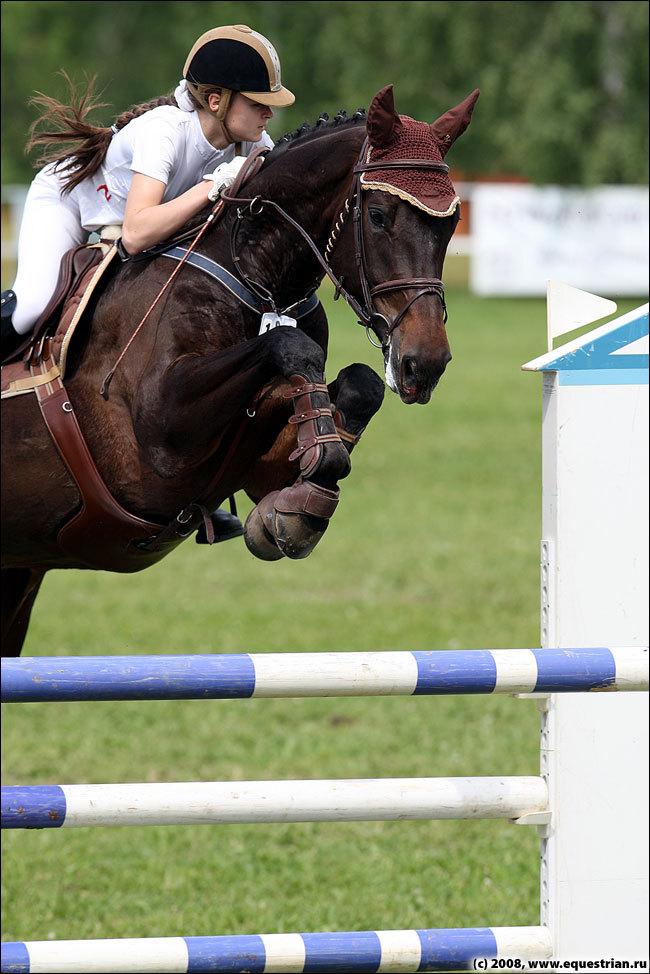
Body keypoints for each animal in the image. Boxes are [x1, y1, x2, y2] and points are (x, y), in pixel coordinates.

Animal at [0, 87, 476, 660]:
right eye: (380, 216)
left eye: (451, 222)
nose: (424, 364)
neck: (255, 272)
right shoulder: (161, 437)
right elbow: (288, 346)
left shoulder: (255, 458)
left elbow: (350, 385)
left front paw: (295, 508)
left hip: (18, 572)